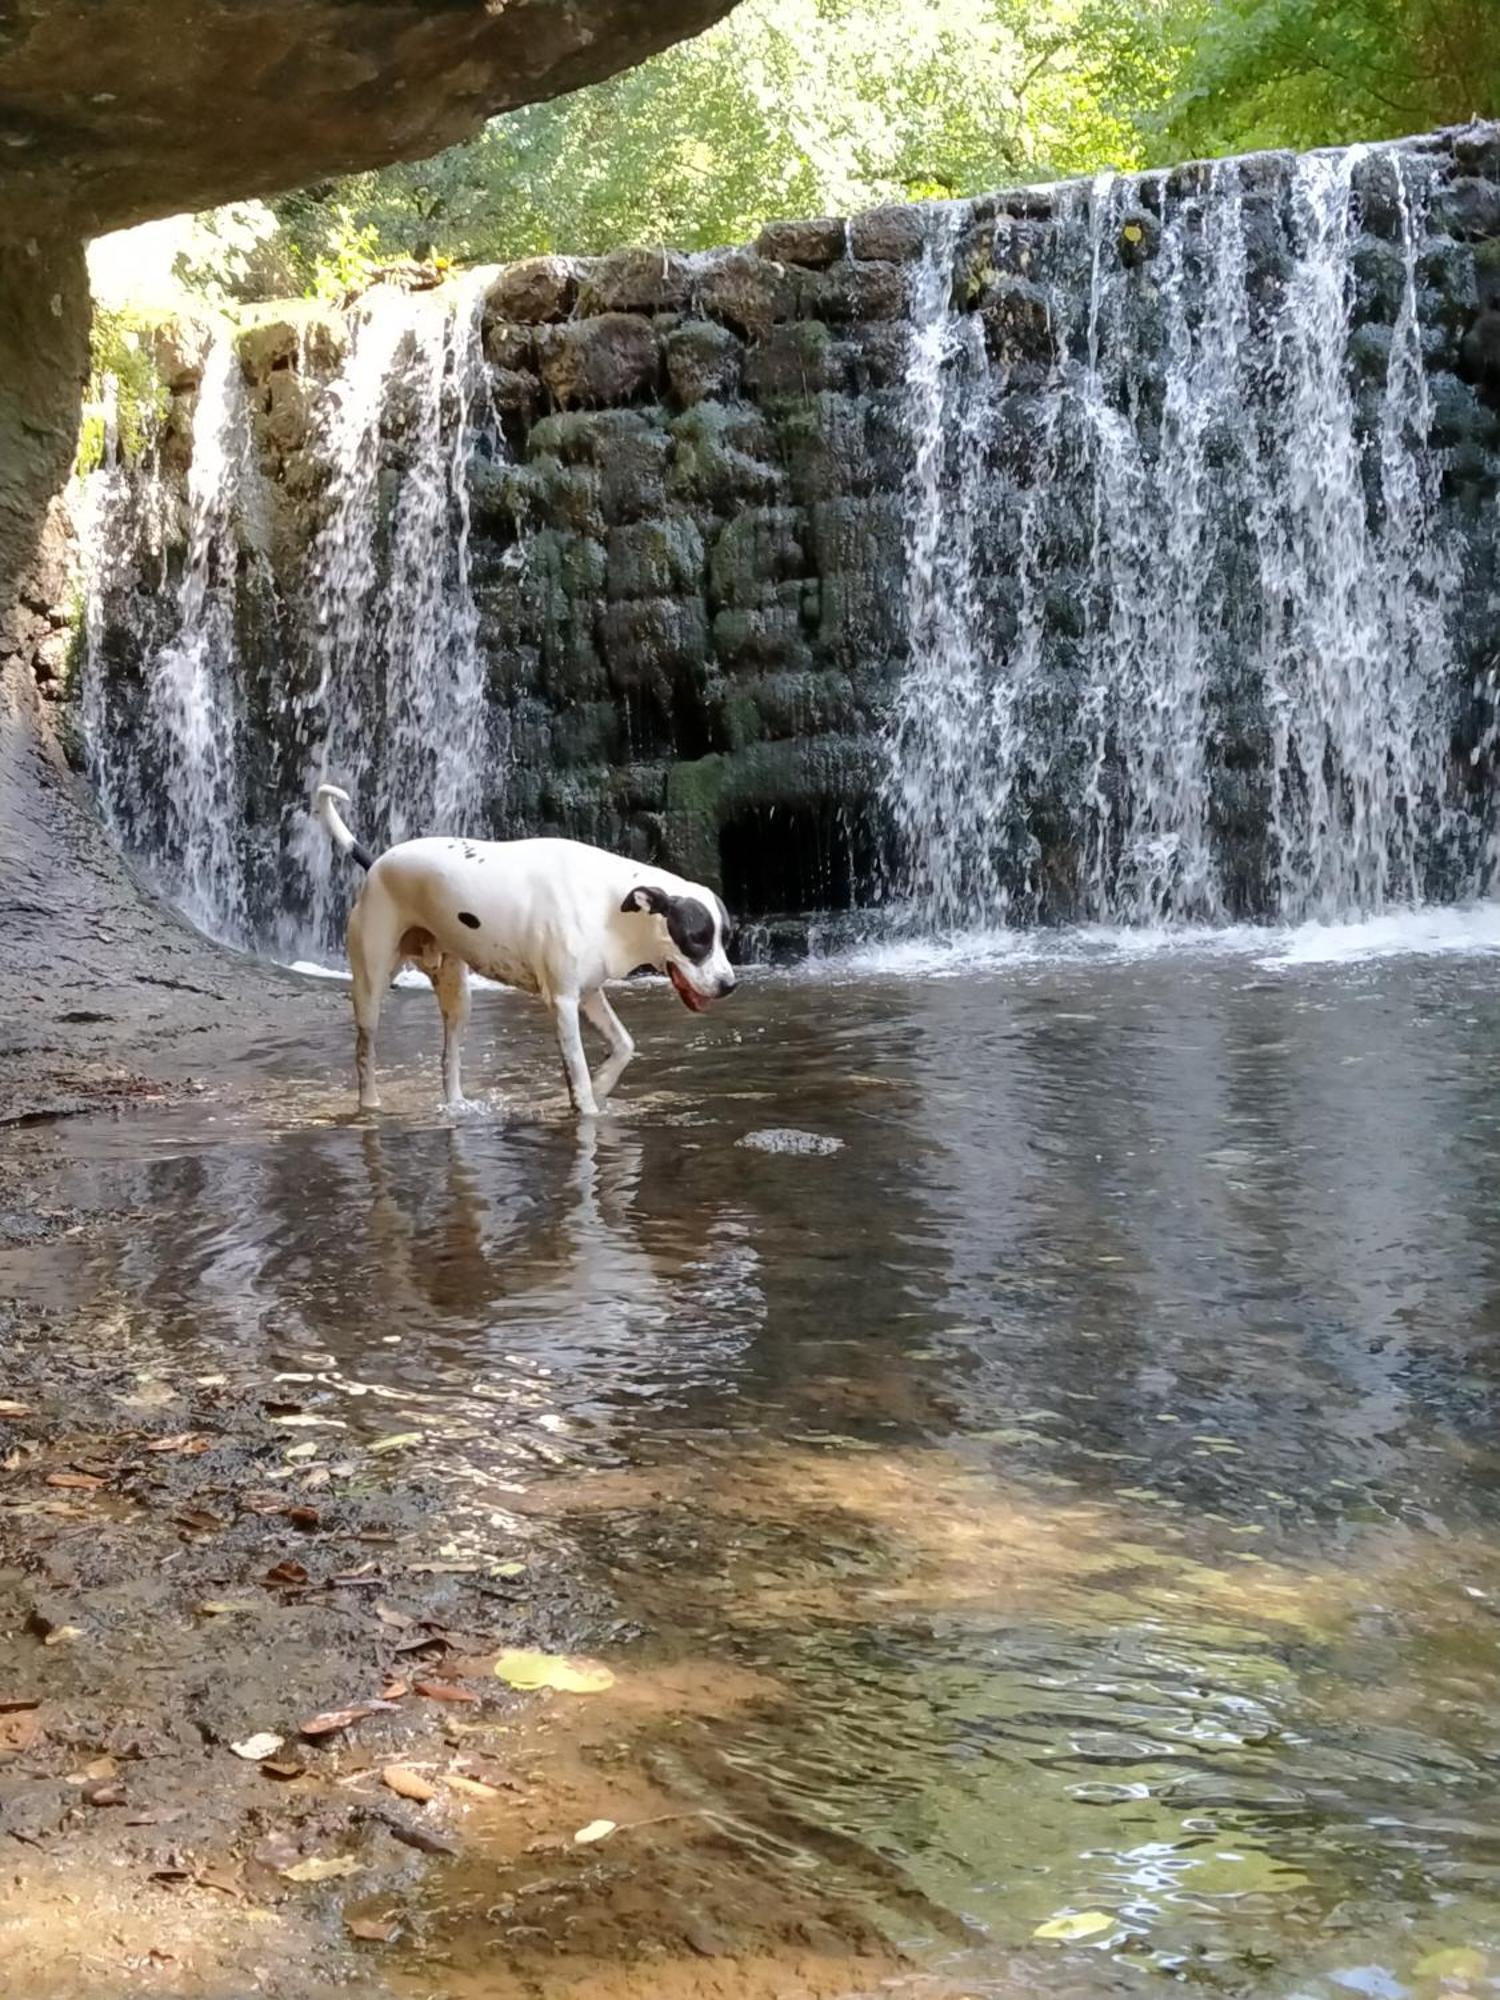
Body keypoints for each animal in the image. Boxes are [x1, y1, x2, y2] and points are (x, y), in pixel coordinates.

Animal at [318, 780, 740, 1120]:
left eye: (726, 938)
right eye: (697, 938)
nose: (729, 985)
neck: (608, 904)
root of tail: (377, 864)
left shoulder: (589, 994)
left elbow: (624, 1045)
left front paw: (603, 1083)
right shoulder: (564, 1003)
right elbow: (578, 1074)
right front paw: (588, 1106)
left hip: (457, 996)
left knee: (448, 1059)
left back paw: (456, 1106)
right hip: (370, 988)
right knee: (364, 1054)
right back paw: (370, 1104)